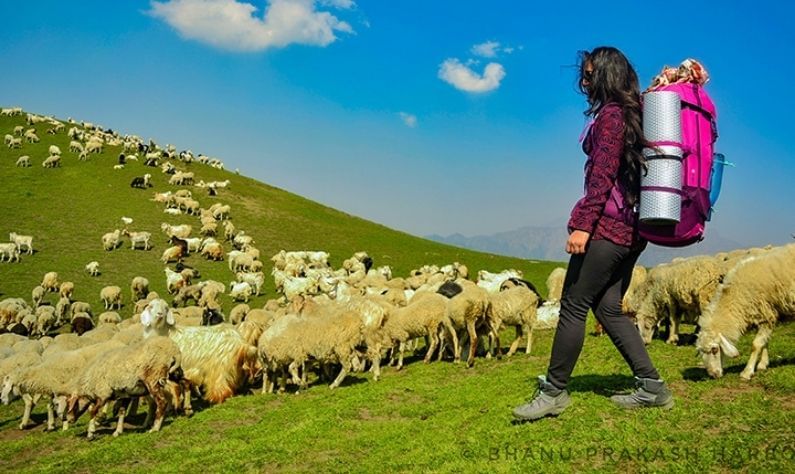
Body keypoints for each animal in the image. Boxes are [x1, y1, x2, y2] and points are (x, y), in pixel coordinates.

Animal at [696, 244, 795, 382]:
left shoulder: (767, 315)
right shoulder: (765, 315)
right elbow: (765, 342)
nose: (713, 375)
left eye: (715, 350)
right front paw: (763, 364)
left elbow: (756, 345)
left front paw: (747, 372)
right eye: (701, 352)